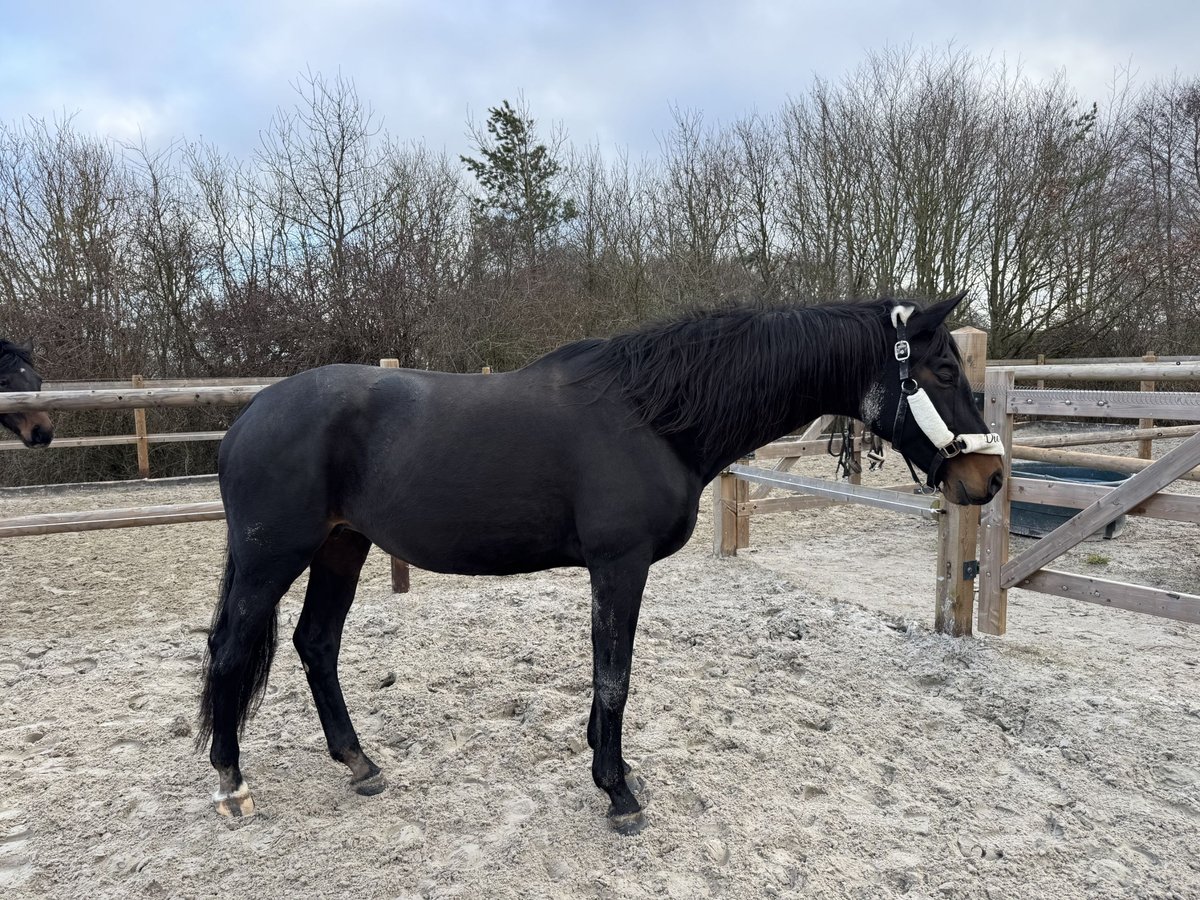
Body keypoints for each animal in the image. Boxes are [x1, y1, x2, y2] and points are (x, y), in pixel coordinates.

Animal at [196, 294, 1003, 830]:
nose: (990, 478)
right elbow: (615, 676)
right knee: (232, 651)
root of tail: (247, 418)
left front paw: (609, 764)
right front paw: (617, 793)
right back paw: (232, 784)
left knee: (315, 644)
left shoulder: (610, 571)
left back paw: (359, 764)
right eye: (940, 368)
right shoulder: (621, 564)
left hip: (342, 546)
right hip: (273, 556)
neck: (654, 415)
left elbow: (603, 673)